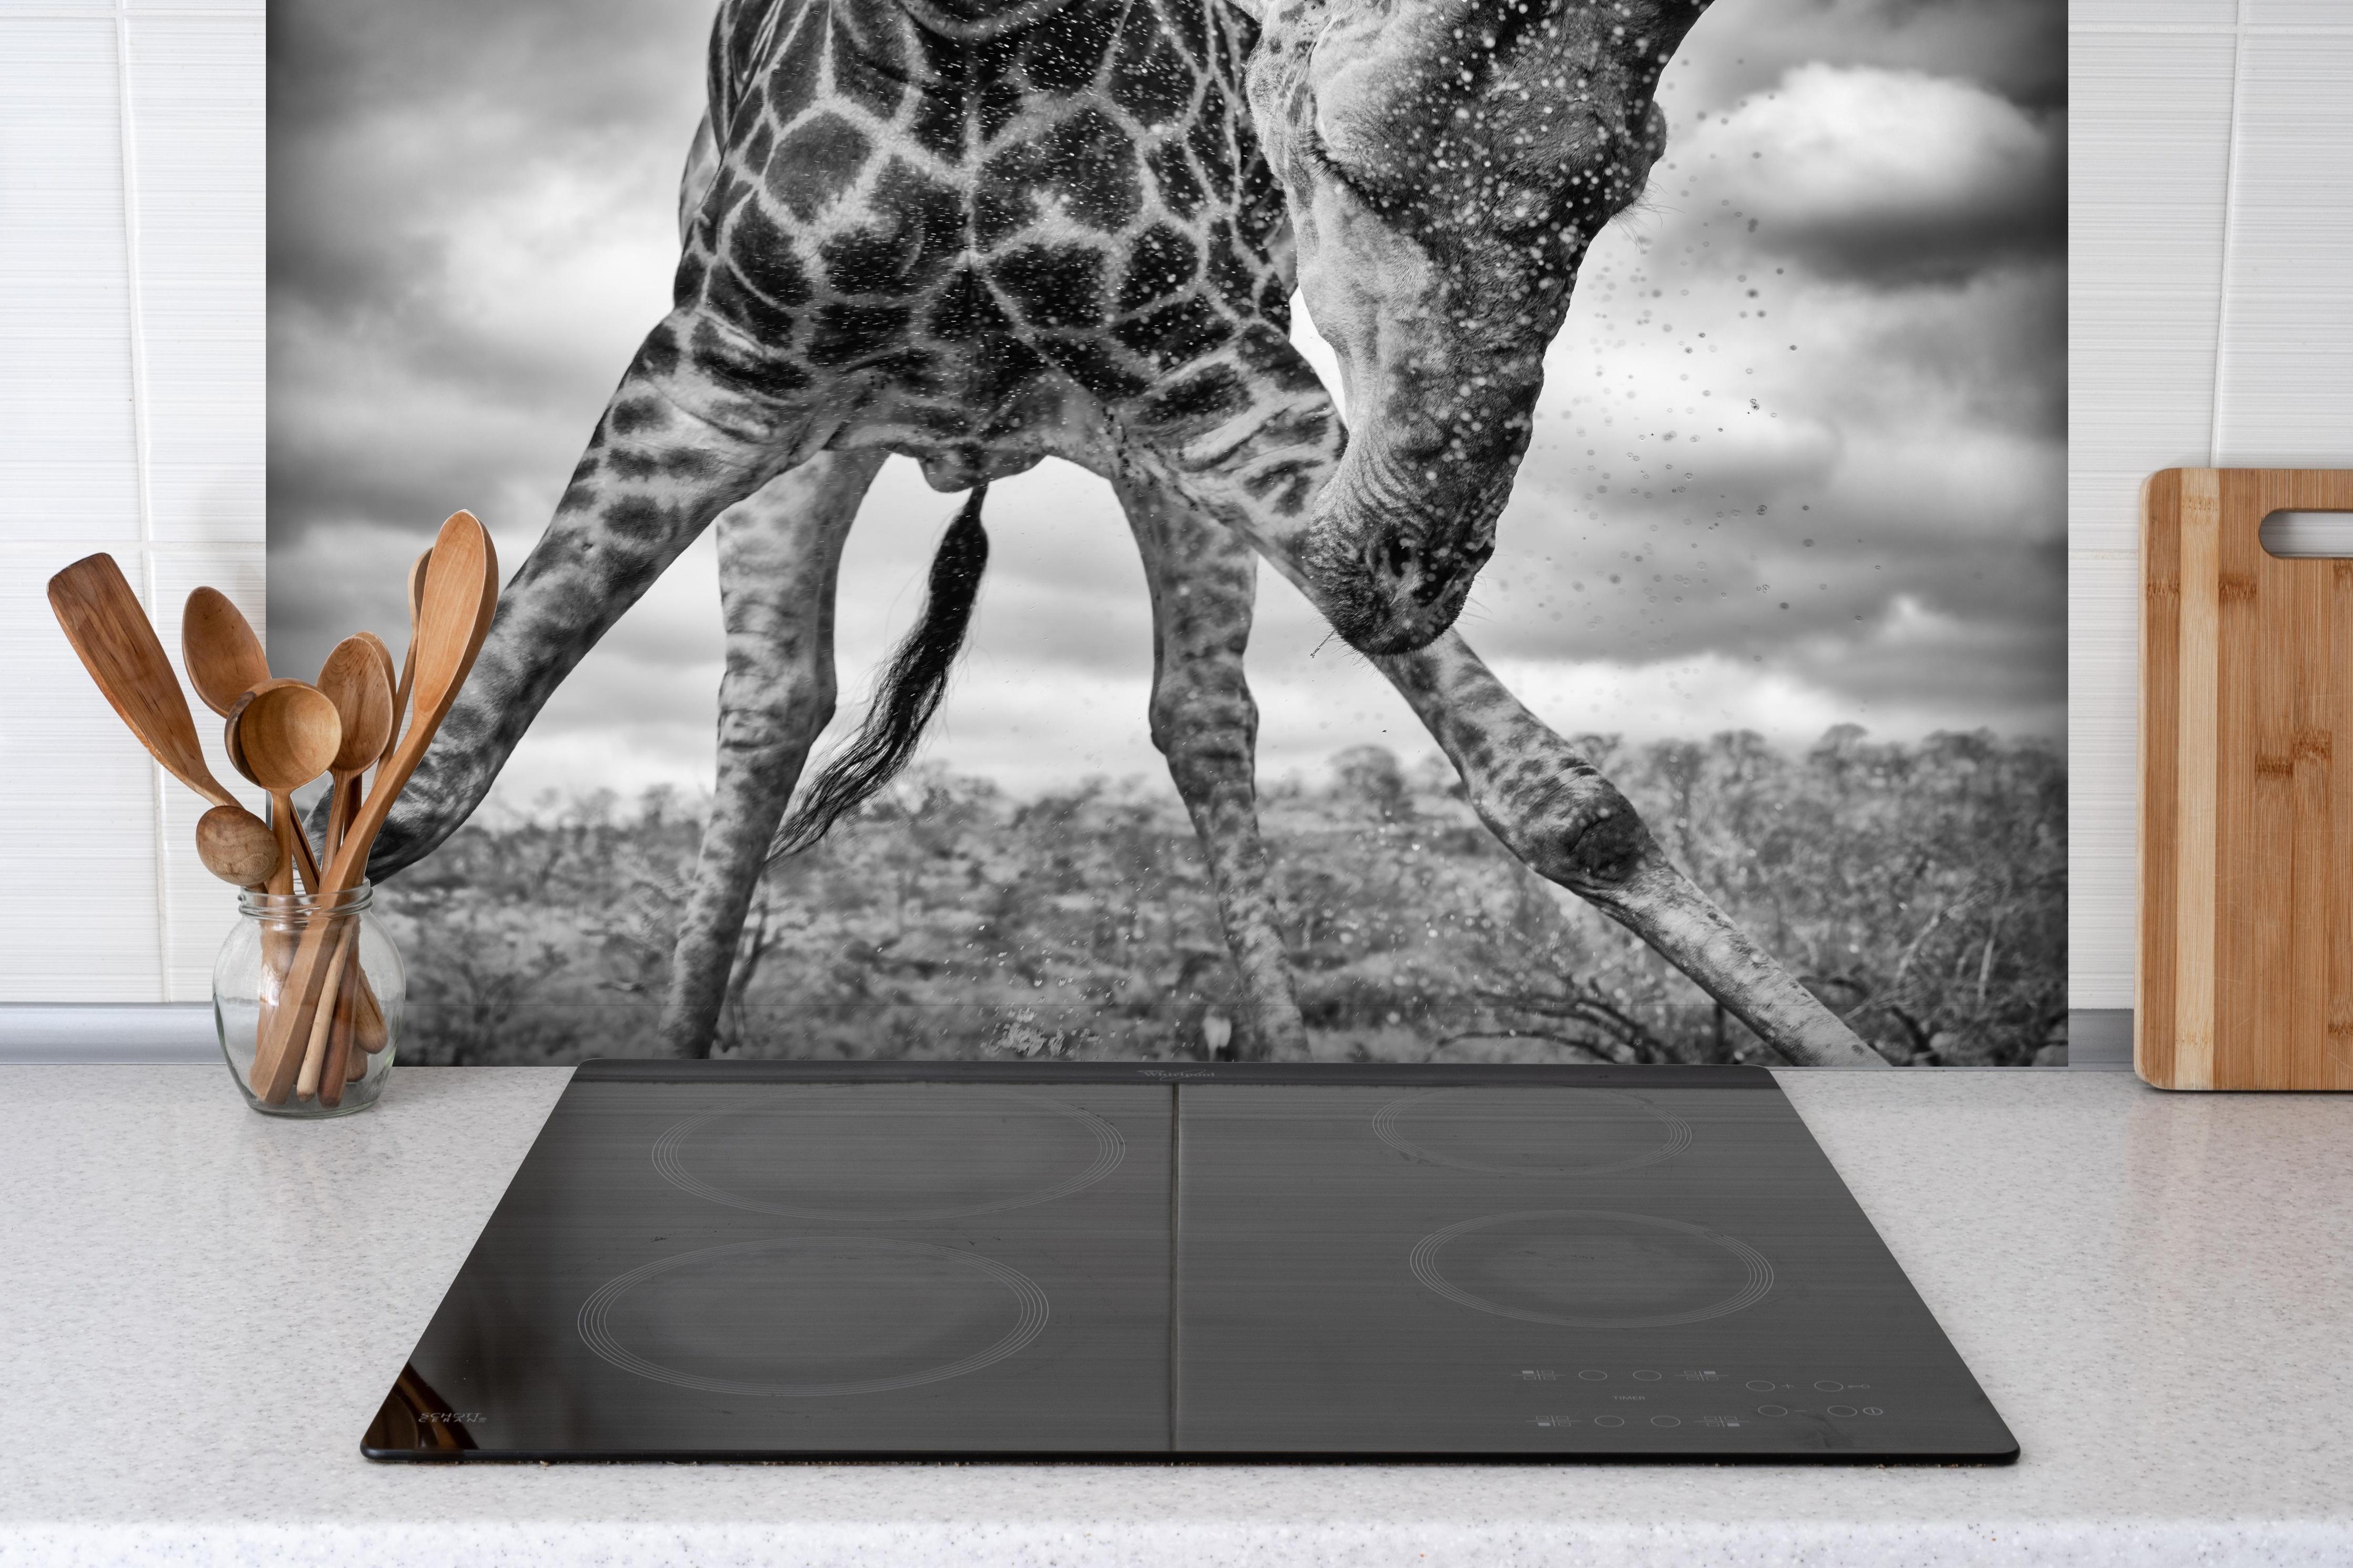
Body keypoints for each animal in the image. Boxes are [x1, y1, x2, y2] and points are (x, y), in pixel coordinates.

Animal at [364, 0, 1891, 1069]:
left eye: (1625, 181)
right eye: (1340, 166)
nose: (1419, 552)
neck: (971, 33)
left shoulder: (1212, 380)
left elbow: (1574, 807)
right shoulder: (711, 377)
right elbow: (413, 800)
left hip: (1157, 452)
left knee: (1203, 717)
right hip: (816, 450)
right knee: (770, 703)